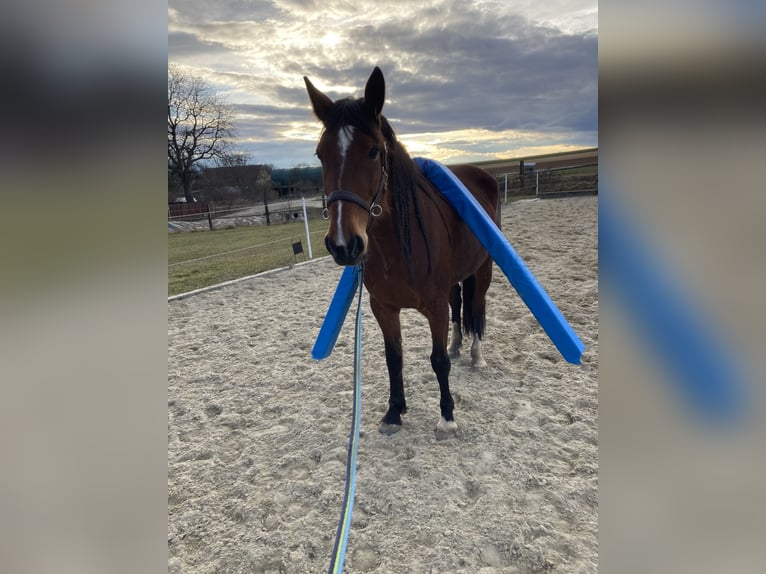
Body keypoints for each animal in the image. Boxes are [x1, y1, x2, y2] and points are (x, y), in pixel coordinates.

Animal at [306, 66, 504, 440]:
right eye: (321, 154)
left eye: (373, 151)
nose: (343, 244)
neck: (396, 248)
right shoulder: (383, 308)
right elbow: (393, 358)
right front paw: (394, 412)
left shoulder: (434, 307)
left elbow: (437, 360)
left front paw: (447, 417)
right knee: (459, 303)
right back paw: (458, 344)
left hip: (482, 269)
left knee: (476, 306)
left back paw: (475, 354)